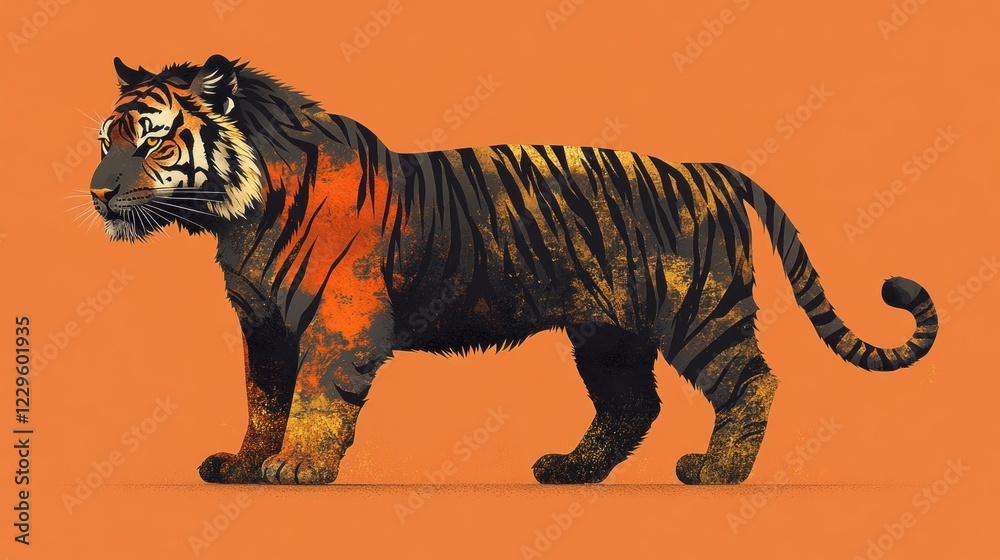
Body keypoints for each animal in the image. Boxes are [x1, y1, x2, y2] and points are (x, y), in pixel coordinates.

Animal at [88, 55, 938, 485]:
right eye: (107, 138)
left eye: (154, 140)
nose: (96, 193)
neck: (238, 214)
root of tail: (710, 168)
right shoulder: (264, 323)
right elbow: (263, 395)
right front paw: (243, 462)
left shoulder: (341, 318)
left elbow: (315, 397)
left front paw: (296, 466)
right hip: (608, 331)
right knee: (632, 402)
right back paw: (572, 468)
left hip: (701, 312)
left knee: (754, 382)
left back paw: (718, 470)